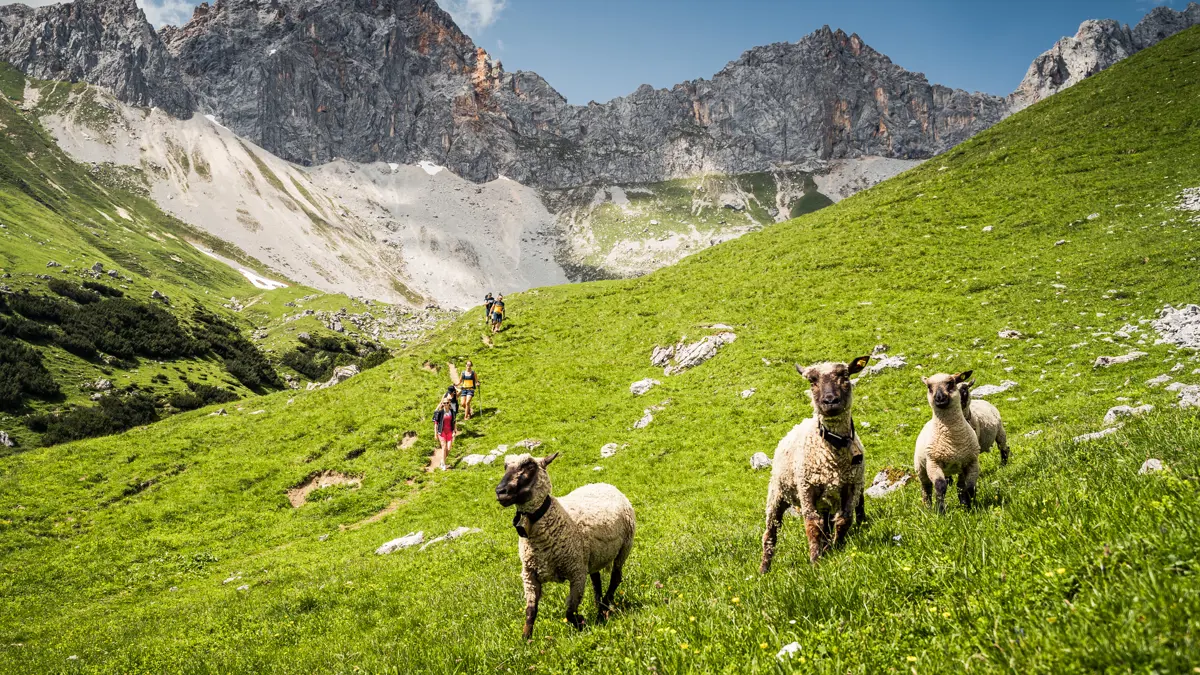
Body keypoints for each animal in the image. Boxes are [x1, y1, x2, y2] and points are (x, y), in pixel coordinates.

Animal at [495, 453, 635, 640]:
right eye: (505, 466)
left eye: (530, 466)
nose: (500, 492)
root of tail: (604, 484)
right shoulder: (529, 576)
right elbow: (530, 611)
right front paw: (526, 640)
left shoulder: (576, 572)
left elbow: (569, 611)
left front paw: (581, 622)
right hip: (592, 556)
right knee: (596, 580)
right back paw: (599, 607)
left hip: (624, 547)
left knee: (616, 577)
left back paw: (603, 609)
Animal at [760, 354, 871, 572]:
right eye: (812, 381)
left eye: (845, 375)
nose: (830, 401)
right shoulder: (806, 488)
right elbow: (812, 525)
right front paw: (815, 563)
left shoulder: (852, 486)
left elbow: (844, 520)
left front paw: (838, 547)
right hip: (777, 494)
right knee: (770, 533)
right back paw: (764, 570)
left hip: (826, 500)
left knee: (827, 525)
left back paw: (828, 548)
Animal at [914, 371, 981, 513]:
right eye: (929, 386)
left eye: (951, 382)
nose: (939, 398)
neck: (953, 437)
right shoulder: (933, 463)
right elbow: (940, 487)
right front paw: (940, 511)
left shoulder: (971, 462)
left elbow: (970, 487)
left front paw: (970, 508)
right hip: (921, 468)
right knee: (926, 489)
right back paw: (928, 508)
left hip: (960, 467)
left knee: (960, 486)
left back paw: (963, 504)